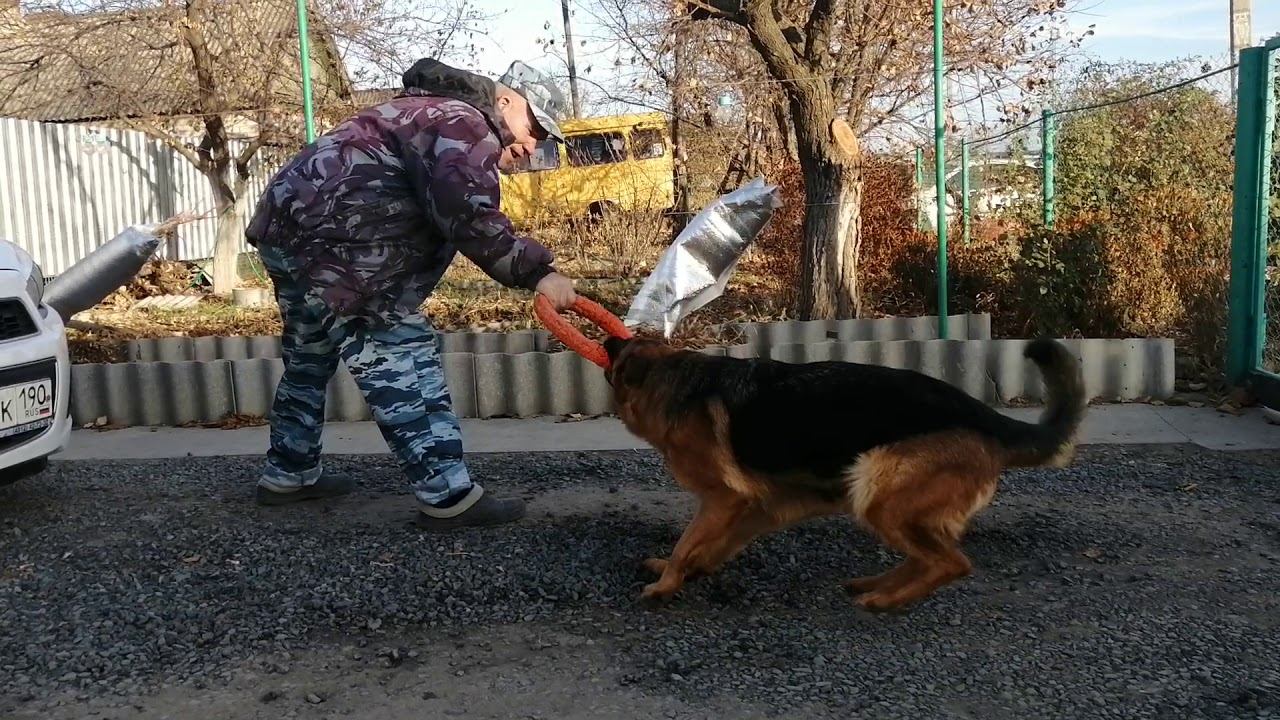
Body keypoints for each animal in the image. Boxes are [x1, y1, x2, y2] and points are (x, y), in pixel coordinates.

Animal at [601, 335, 1087, 611]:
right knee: (929, 556)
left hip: (877, 488)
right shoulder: (758, 508)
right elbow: (712, 545)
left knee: (953, 562)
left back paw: (885, 601)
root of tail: (989, 418)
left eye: (620, 354)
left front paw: (666, 584)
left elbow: (688, 541)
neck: (672, 380)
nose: (607, 339)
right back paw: (876, 584)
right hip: (884, 502)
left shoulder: (725, 498)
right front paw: (687, 570)